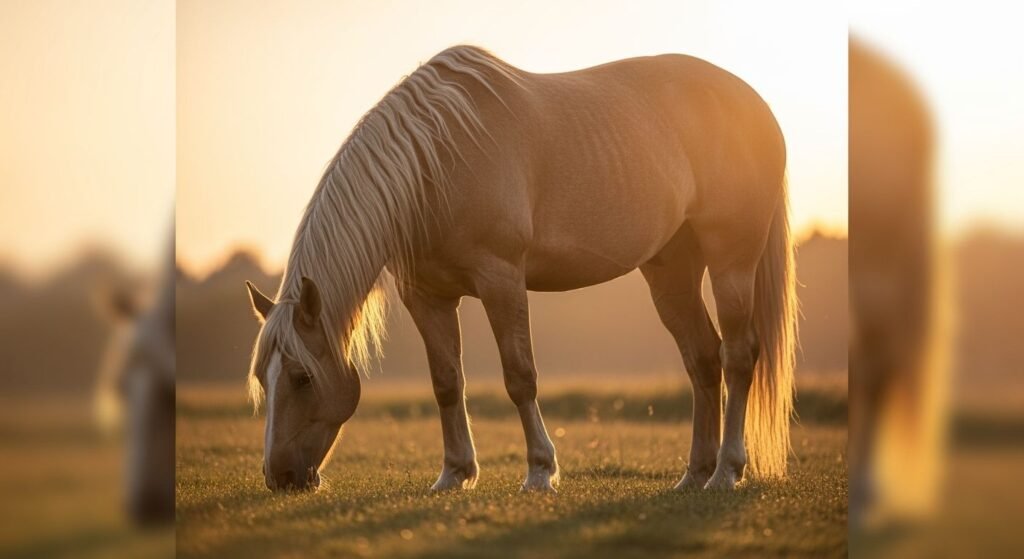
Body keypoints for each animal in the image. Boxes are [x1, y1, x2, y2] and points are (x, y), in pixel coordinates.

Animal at [244, 45, 796, 493]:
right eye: (261, 379)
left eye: (301, 378)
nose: (280, 477)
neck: (435, 159)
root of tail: (756, 104)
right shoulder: (425, 295)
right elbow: (446, 381)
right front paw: (454, 474)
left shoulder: (501, 279)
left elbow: (519, 375)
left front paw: (539, 471)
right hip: (671, 270)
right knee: (702, 359)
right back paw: (694, 474)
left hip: (731, 261)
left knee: (738, 355)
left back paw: (726, 471)